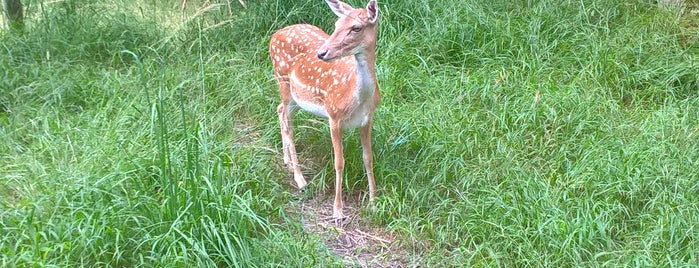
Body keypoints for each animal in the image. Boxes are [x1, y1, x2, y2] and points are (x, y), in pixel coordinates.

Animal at [270, 0, 382, 222]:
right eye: (336, 24)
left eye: (356, 27)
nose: (322, 53)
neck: (358, 99)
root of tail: (274, 35)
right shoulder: (334, 116)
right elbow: (339, 162)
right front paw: (337, 211)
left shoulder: (367, 119)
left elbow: (368, 158)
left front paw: (374, 203)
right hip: (282, 80)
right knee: (287, 122)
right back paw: (300, 179)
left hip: (296, 97)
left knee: (279, 110)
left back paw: (287, 161)